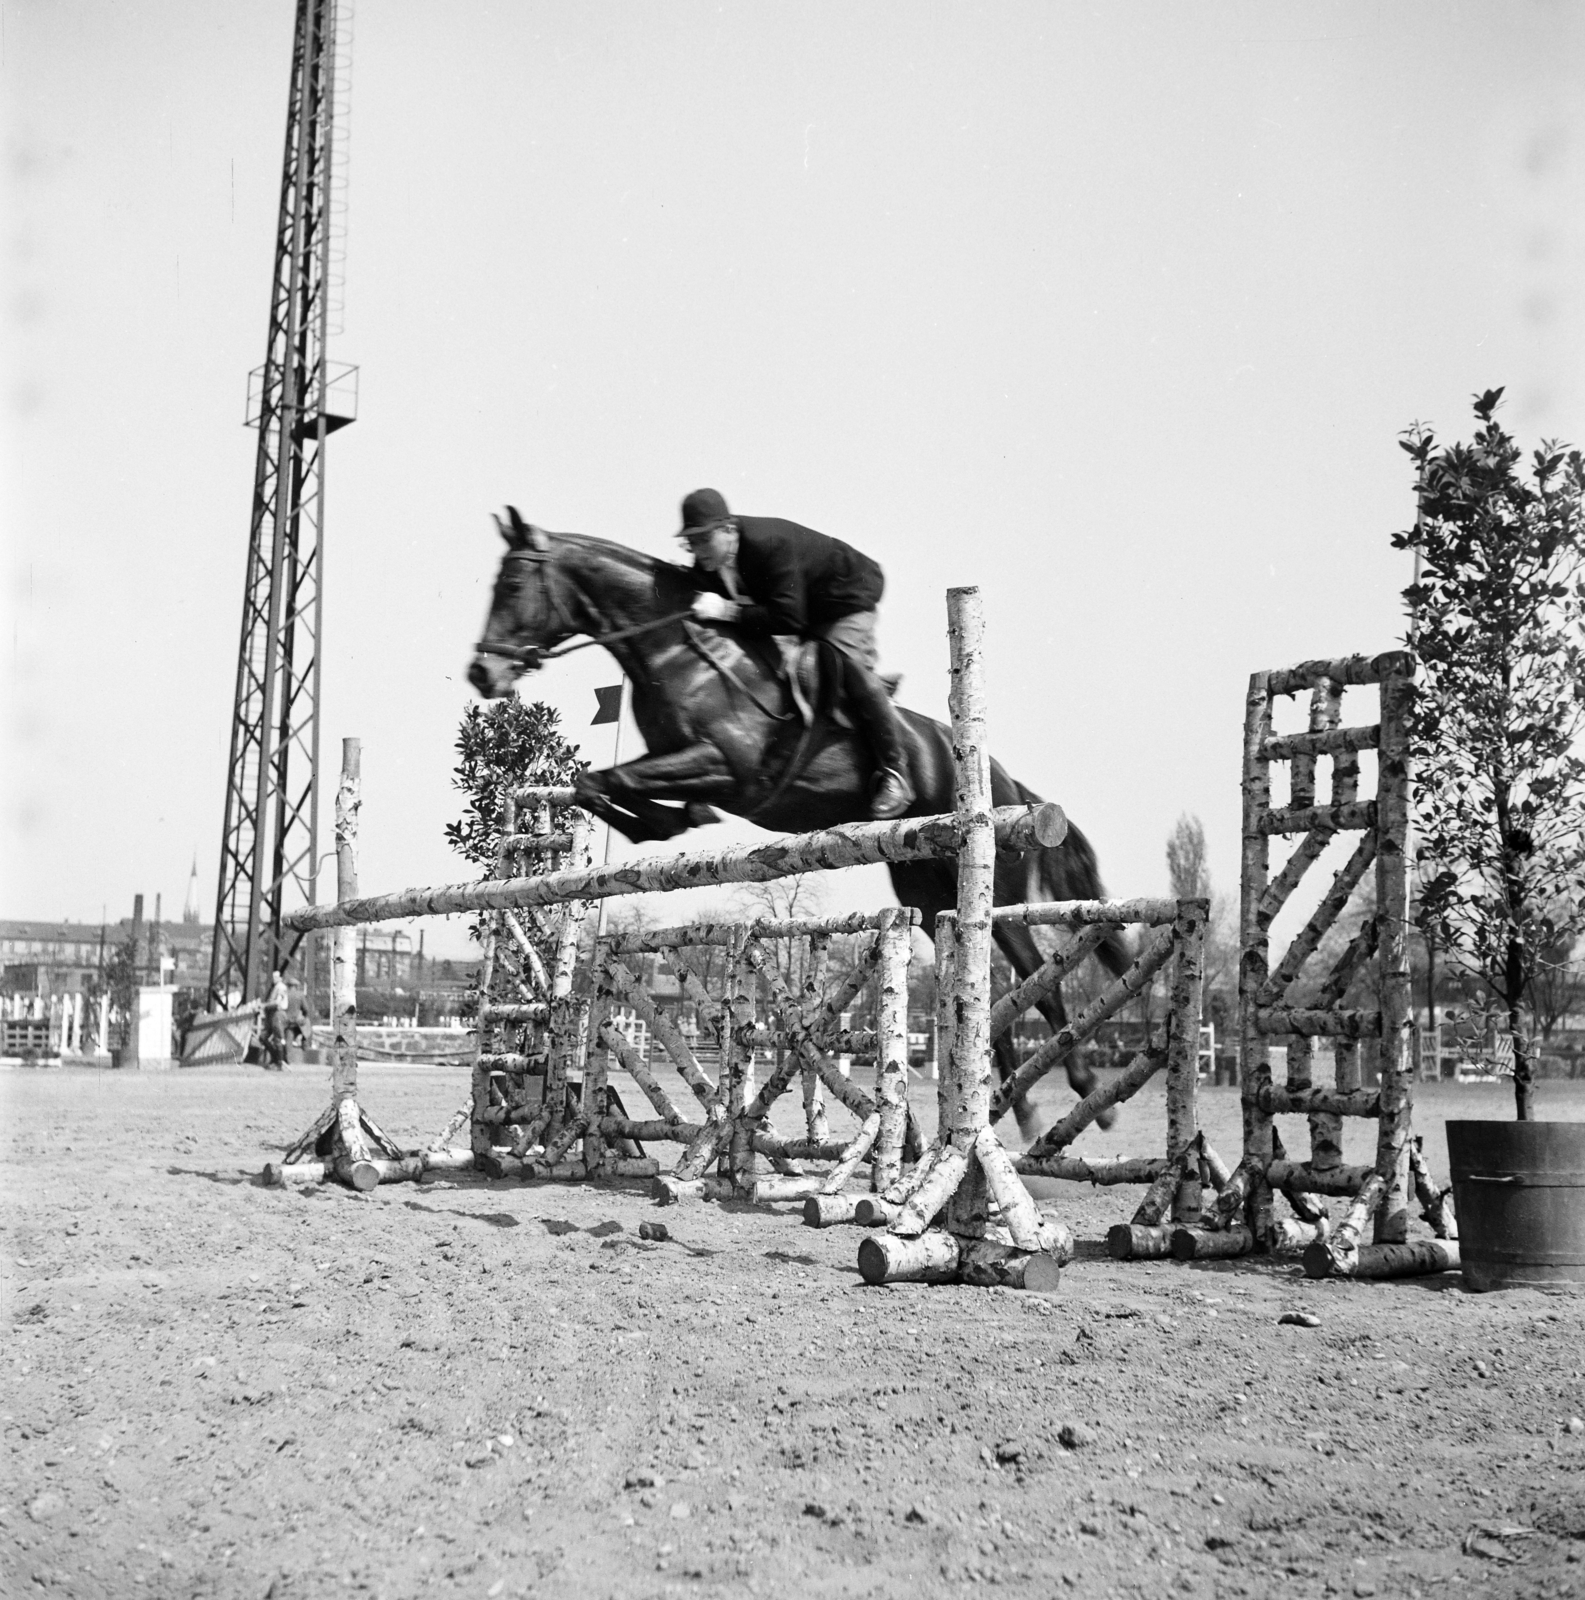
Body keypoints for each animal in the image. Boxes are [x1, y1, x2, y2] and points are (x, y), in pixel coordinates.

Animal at [463, 512, 1132, 1139]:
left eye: (514, 584)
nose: (481, 676)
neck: (675, 651)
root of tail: (1002, 778)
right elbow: (596, 784)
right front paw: (659, 826)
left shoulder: (728, 766)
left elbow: (621, 780)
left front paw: (669, 818)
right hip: (926, 886)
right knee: (984, 990)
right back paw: (1018, 1109)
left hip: (994, 881)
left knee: (1038, 978)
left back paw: (1083, 1090)